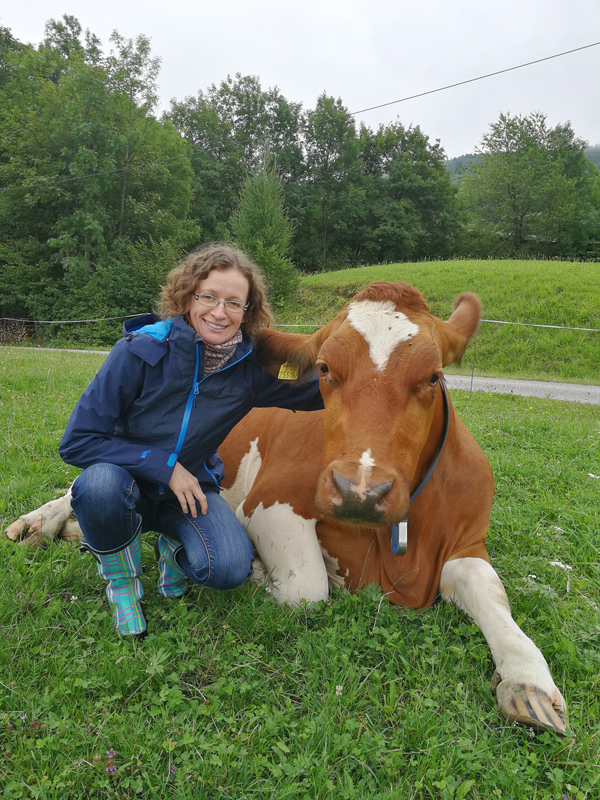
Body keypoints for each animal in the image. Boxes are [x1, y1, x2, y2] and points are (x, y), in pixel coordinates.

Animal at [5, 281, 567, 735]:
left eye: (433, 377)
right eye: (324, 369)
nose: (360, 490)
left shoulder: (469, 540)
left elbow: (488, 590)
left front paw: (528, 680)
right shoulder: (268, 505)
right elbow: (307, 587)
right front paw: (259, 572)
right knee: (86, 479)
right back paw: (42, 523)